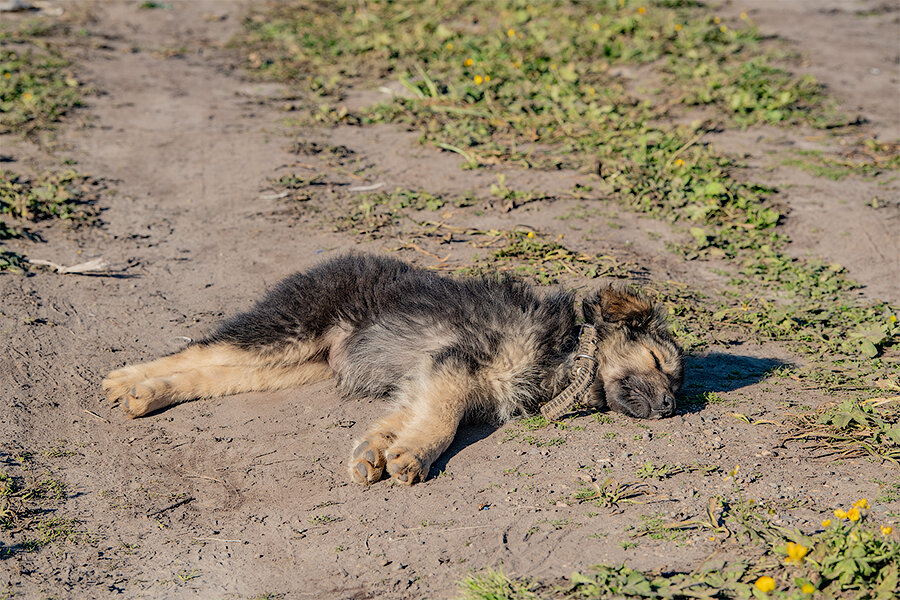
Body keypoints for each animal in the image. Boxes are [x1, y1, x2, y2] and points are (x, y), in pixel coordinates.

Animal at [102, 252, 684, 482]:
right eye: (659, 362)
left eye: (675, 379)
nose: (672, 406)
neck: (566, 353)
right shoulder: (456, 365)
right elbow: (442, 423)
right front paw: (413, 459)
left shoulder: (426, 379)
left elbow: (400, 420)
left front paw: (377, 453)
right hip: (289, 328)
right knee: (202, 350)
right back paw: (126, 380)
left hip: (295, 363)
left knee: (213, 374)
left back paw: (146, 395)